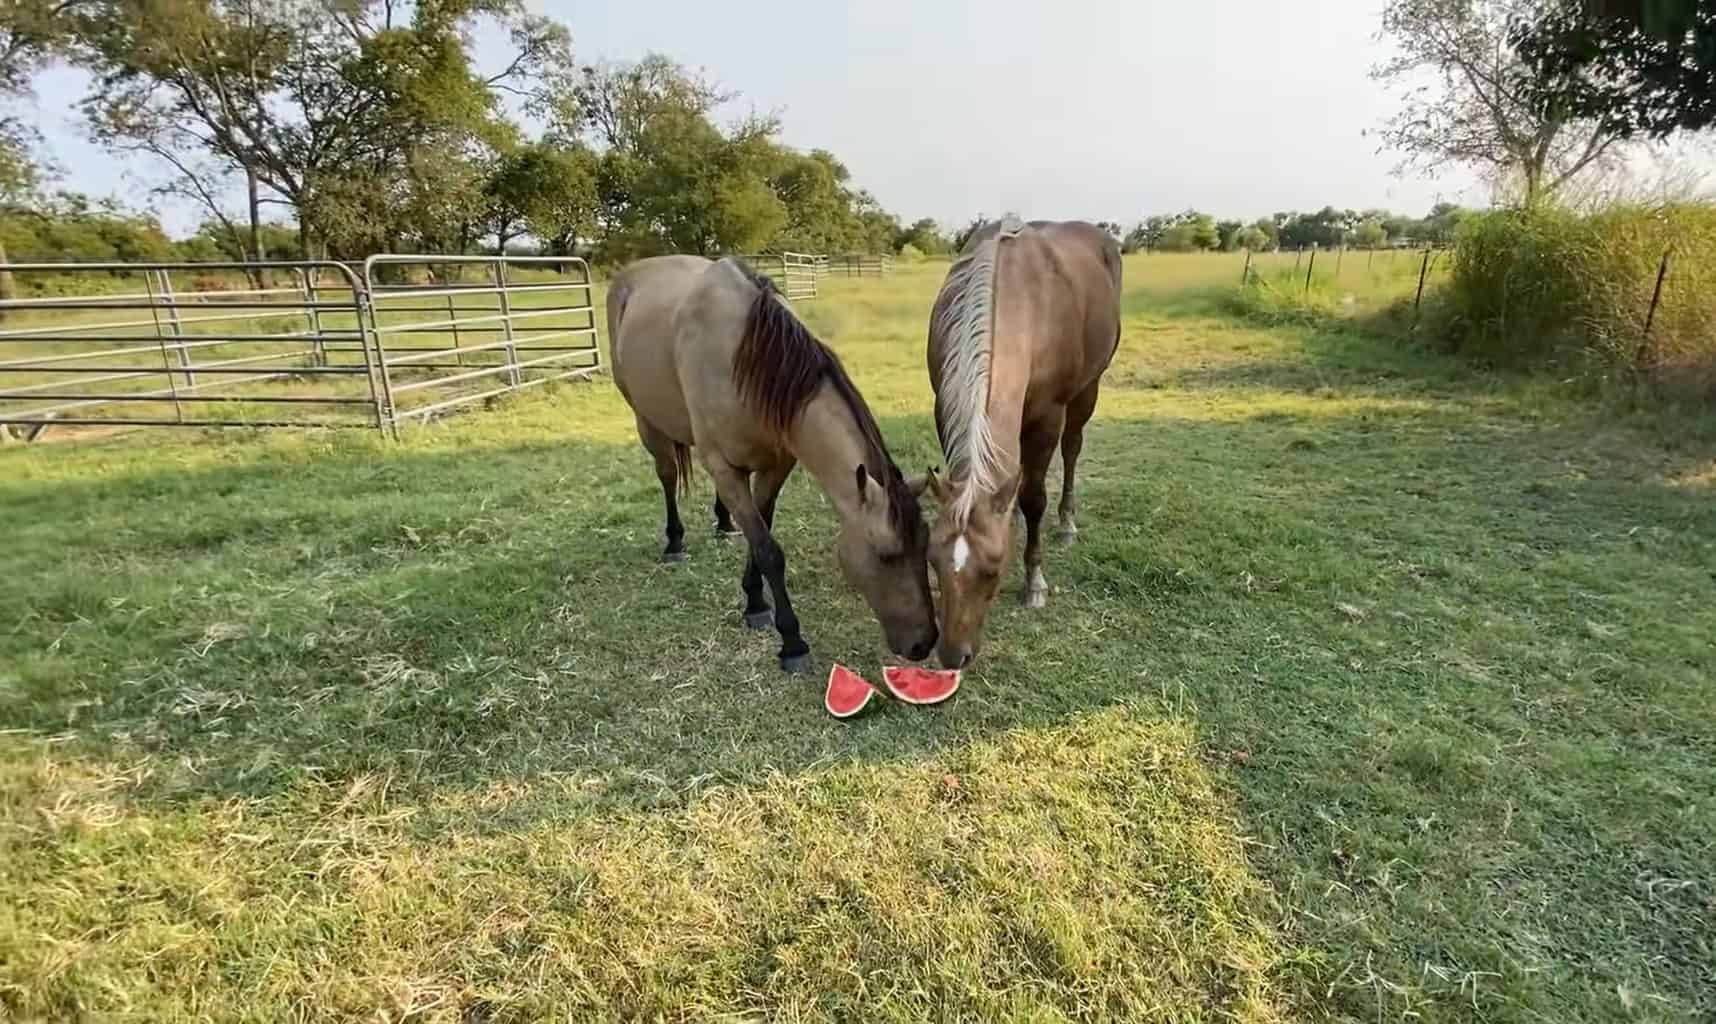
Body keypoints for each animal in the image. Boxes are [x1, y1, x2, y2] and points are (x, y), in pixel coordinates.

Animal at [610, 253, 940, 672]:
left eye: (925, 545)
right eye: (886, 554)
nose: (924, 643)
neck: (746, 360)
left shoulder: (775, 466)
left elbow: (760, 535)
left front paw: (754, 601)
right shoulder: (725, 467)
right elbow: (768, 550)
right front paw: (792, 641)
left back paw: (724, 524)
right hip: (647, 421)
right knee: (667, 476)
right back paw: (675, 544)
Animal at [933, 216, 1118, 665]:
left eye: (994, 570)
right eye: (933, 563)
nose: (952, 656)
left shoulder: (1049, 415)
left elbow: (1035, 497)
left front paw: (1035, 581)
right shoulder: (942, 407)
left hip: (1087, 391)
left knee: (1071, 450)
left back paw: (1066, 521)